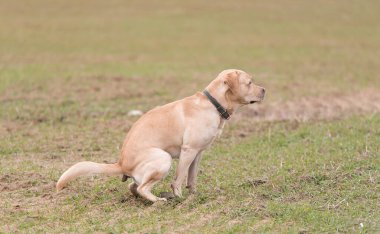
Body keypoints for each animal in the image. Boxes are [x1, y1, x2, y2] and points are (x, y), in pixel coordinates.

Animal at [56, 68, 266, 202]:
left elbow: (192, 178)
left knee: (133, 187)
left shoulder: (198, 153)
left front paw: (193, 196)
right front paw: (179, 198)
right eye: (249, 82)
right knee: (142, 188)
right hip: (163, 158)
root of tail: (121, 163)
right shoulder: (188, 151)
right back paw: (158, 200)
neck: (213, 103)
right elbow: (179, 178)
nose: (264, 90)